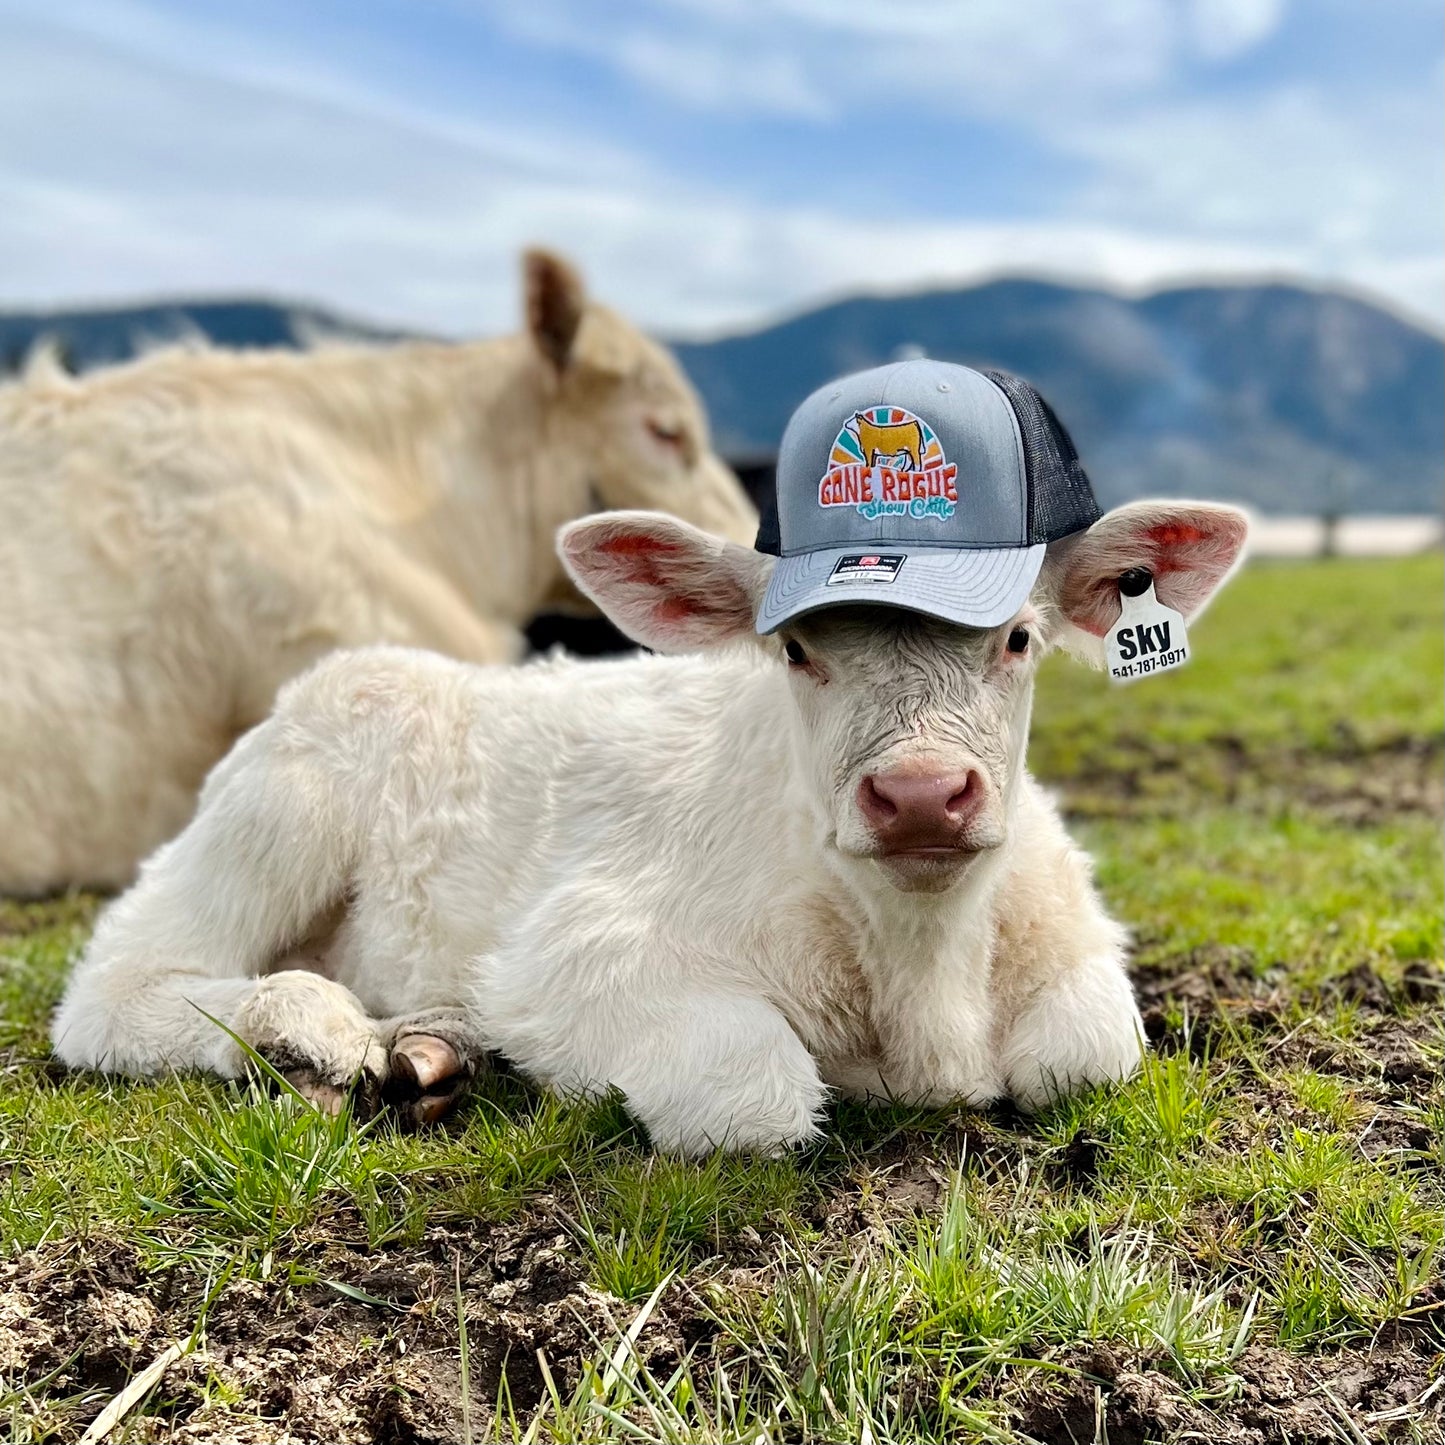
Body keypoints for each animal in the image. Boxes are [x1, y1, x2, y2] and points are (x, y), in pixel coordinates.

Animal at [51, 498, 1248, 1154]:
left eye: (1017, 638)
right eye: (795, 650)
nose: (917, 792)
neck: (922, 975)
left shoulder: (1072, 937)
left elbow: (1084, 1051)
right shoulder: (574, 946)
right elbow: (757, 1089)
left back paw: (427, 1042)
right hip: (278, 813)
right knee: (116, 984)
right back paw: (311, 1026)